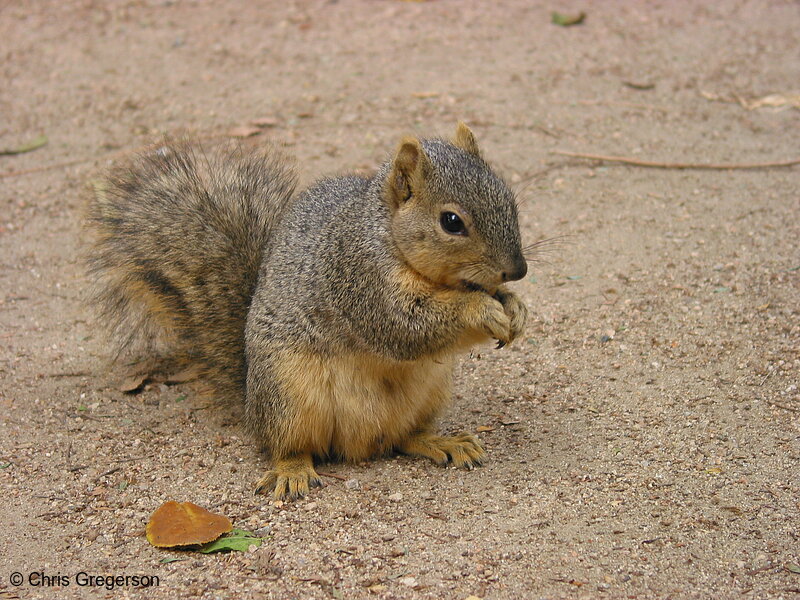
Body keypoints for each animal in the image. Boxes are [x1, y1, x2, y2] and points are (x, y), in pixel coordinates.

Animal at [84, 120, 528, 496]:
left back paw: (441, 441)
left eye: (510, 199)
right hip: (288, 395)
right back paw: (292, 470)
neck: (386, 233)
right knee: (286, 445)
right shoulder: (358, 278)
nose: (518, 270)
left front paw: (516, 307)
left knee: (404, 438)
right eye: (451, 221)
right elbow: (405, 327)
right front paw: (482, 310)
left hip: (428, 393)